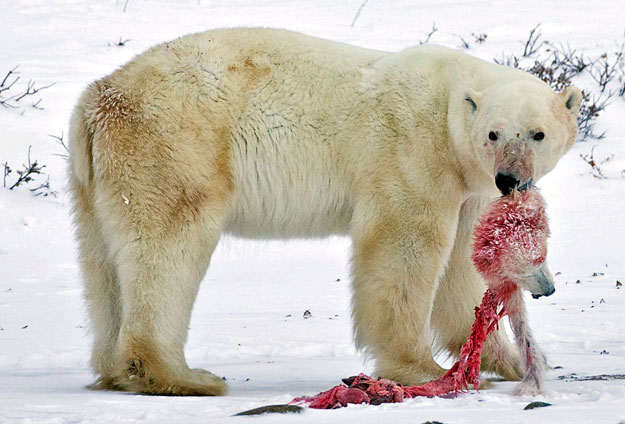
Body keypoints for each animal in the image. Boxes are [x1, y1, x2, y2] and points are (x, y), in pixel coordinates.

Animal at [68, 28, 580, 396]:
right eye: (494, 133)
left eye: (537, 133)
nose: (510, 179)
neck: (448, 102)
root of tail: (99, 97)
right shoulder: (412, 151)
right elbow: (403, 247)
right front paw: (420, 369)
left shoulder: (467, 186)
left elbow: (461, 268)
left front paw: (511, 361)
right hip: (175, 146)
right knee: (168, 249)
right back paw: (184, 377)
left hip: (96, 181)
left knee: (103, 265)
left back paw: (115, 370)